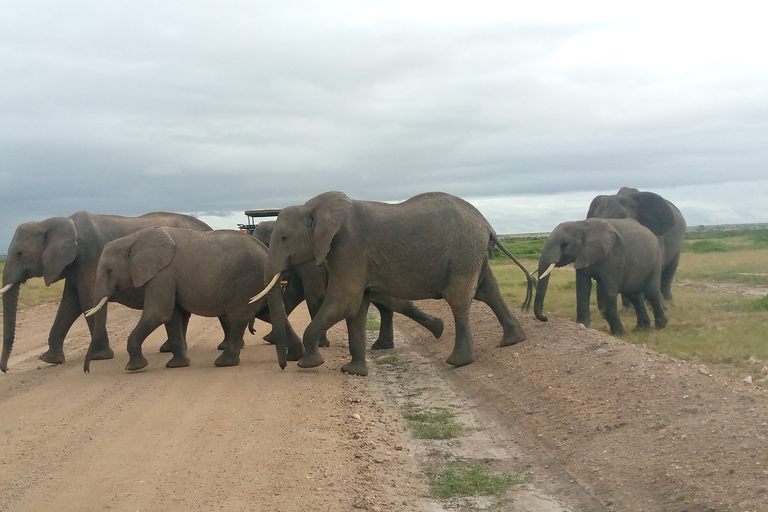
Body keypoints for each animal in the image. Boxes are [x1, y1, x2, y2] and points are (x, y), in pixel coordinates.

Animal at [0, 209, 212, 372]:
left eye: (19, 254)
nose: (6, 369)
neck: (55, 221)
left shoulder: (88, 258)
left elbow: (86, 302)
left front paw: (99, 356)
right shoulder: (74, 265)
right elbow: (70, 305)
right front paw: (49, 359)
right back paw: (168, 349)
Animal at [84, 228, 300, 372]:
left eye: (109, 271)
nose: (87, 370)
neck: (134, 239)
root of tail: (265, 251)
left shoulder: (162, 275)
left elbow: (158, 313)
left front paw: (134, 368)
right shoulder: (167, 277)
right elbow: (171, 317)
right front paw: (177, 365)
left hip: (246, 281)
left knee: (239, 317)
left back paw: (223, 363)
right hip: (257, 284)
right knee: (269, 314)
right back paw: (294, 356)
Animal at [252, 220, 444, 348]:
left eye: (264, 243)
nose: (253, 331)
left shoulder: (311, 264)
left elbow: (312, 295)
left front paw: (321, 344)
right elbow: (294, 294)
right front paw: (271, 338)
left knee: (394, 303)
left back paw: (437, 330)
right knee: (387, 305)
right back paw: (383, 345)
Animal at [536, 217, 664, 334]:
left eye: (564, 245)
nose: (545, 317)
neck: (581, 224)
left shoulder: (614, 256)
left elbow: (609, 292)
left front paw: (619, 333)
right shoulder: (583, 255)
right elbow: (582, 288)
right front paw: (582, 325)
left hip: (656, 259)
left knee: (652, 292)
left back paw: (660, 326)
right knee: (635, 295)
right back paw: (641, 328)